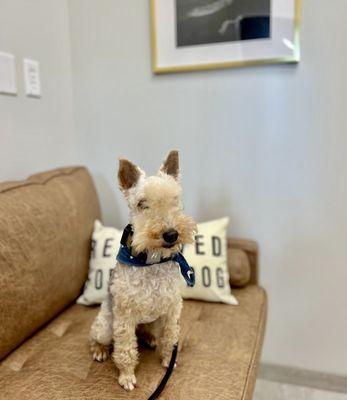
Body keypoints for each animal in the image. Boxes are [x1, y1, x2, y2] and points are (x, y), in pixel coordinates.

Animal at [89, 151, 197, 390]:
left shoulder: (171, 310)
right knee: (96, 336)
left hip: (152, 319)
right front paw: (127, 377)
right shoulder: (124, 315)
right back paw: (99, 350)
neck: (152, 261)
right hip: (106, 324)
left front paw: (167, 360)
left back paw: (150, 338)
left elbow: (170, 337)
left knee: (149, 332)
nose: (171, 234)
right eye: (141, 203)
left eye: (175, 199)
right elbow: (125, 349)